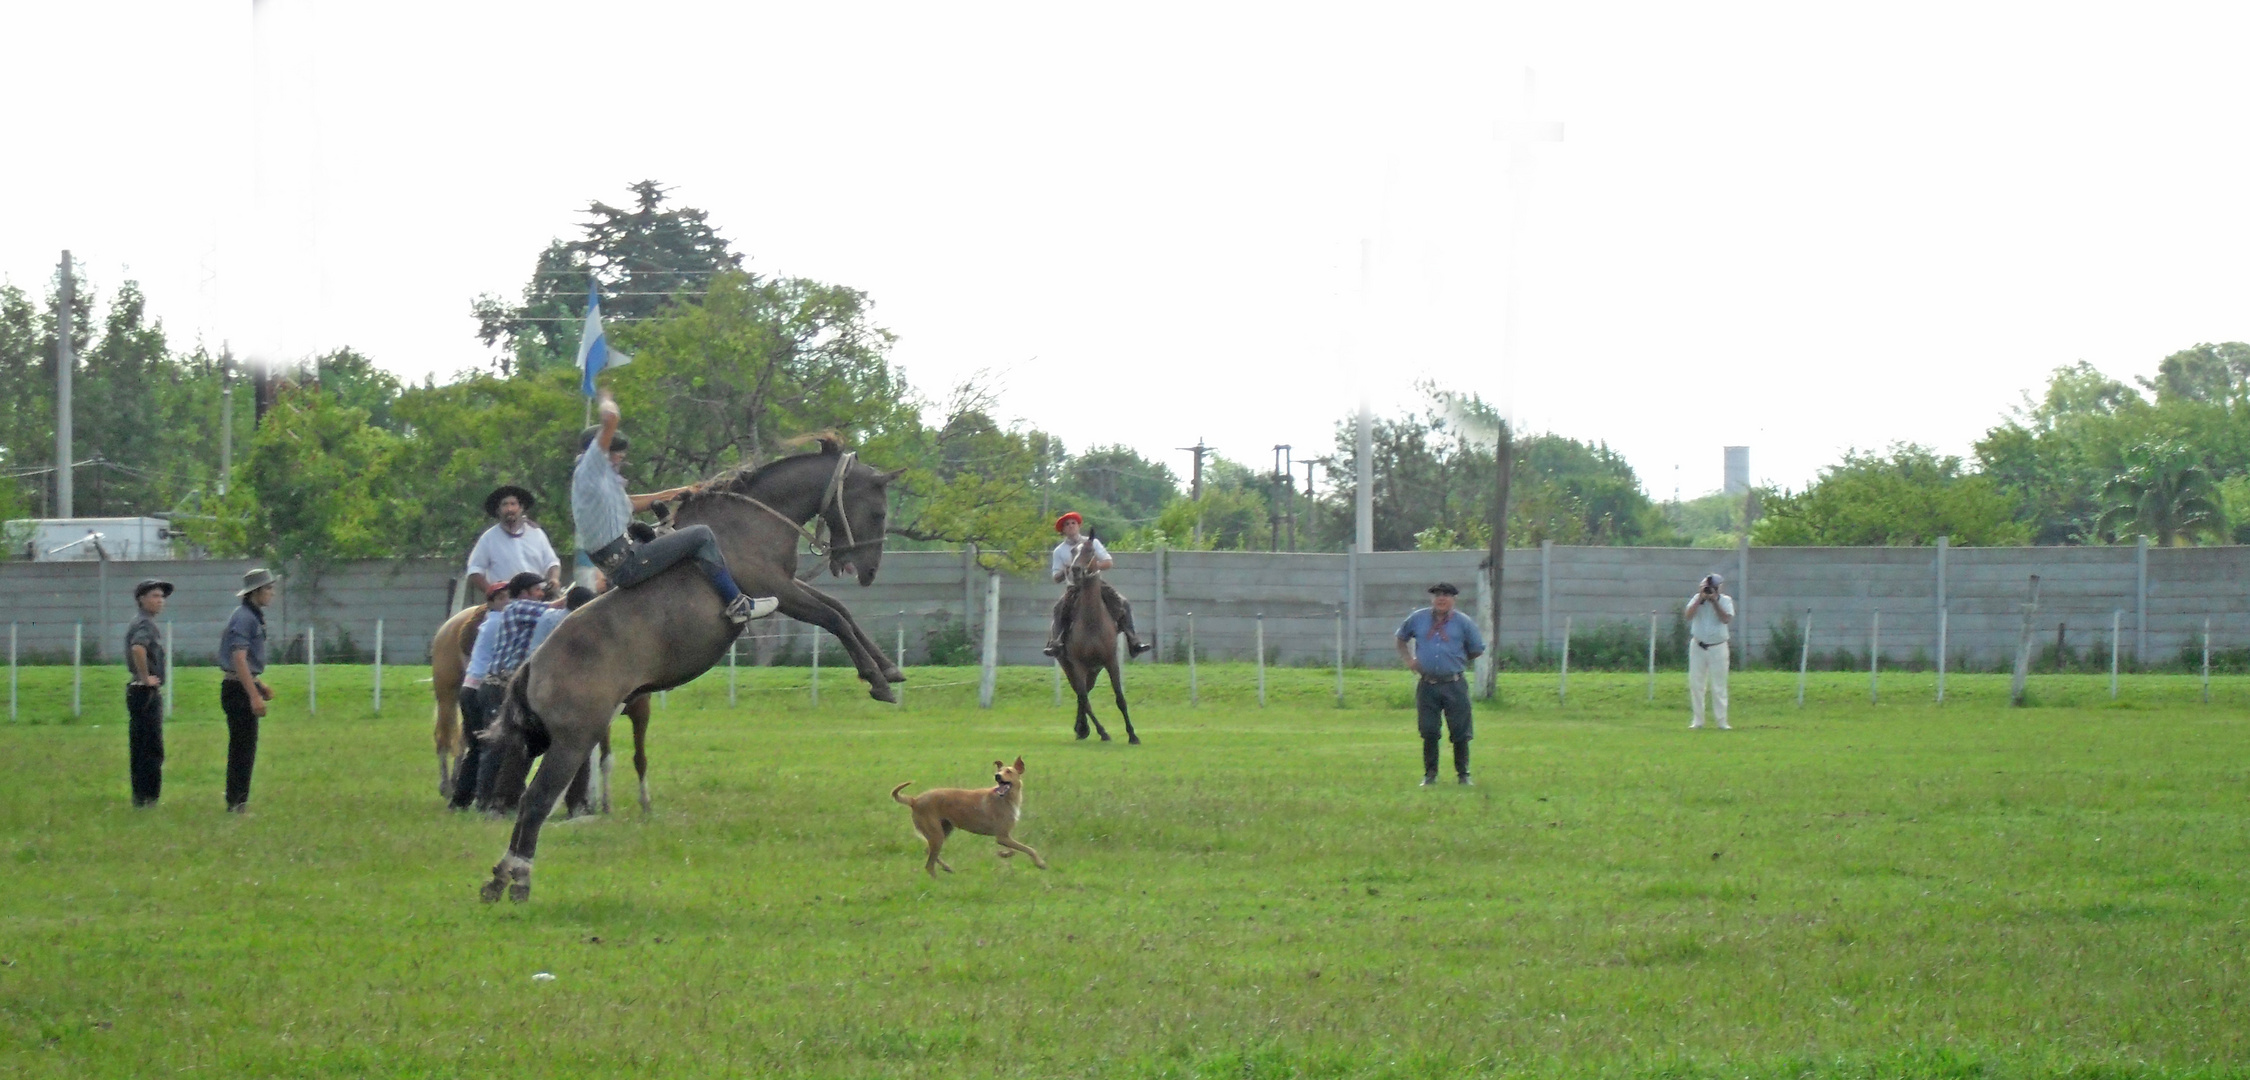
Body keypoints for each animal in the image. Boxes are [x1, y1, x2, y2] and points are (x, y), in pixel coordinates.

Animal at [479, 438, 900, 904]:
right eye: (879, 512)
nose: (870, 571)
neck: (750, 520)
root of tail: (532, 665)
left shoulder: (789, 586)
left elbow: (840, 610)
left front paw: (889, 670)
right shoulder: (777, 588)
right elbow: (833, 617)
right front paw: (878, 681)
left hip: (549, 741)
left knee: (523, 798)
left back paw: (500, 878)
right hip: (574, 740)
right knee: (536, 800)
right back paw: (518, 879)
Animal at [886, 760, 1044, 877]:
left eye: (1009, 771)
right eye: (999, 771)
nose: (997, 776)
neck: (1006, 798)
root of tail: (915, 800)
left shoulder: (1005, 836)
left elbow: (1015, 849)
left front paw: (1004, 854)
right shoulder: (1002, 836)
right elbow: (1029, 849)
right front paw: (1040, 863)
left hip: (944, 831)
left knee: (928, 852)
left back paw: (947, 868)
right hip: (937, 835)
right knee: (929, 865)